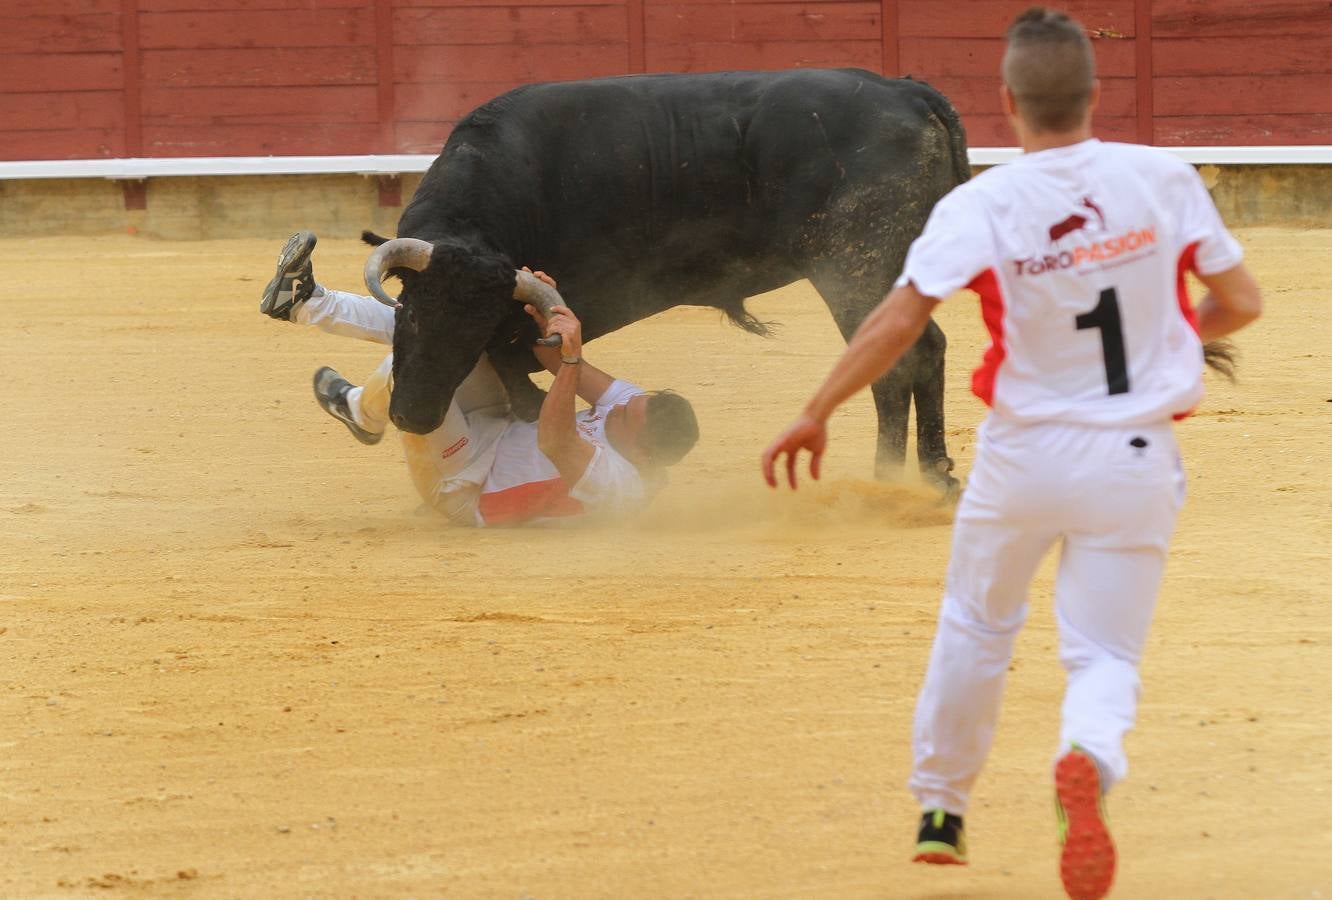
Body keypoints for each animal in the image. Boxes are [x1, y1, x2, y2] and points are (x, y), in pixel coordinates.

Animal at [375, 68, 969, 492]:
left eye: (472, 328)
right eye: (409, 312)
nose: (412, 415)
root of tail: (906, 91)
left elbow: (511, 351)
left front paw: (529, 401)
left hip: (856, 266)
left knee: (896, 362)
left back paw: (888, 476)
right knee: (926, 349)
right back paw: (934, 474)